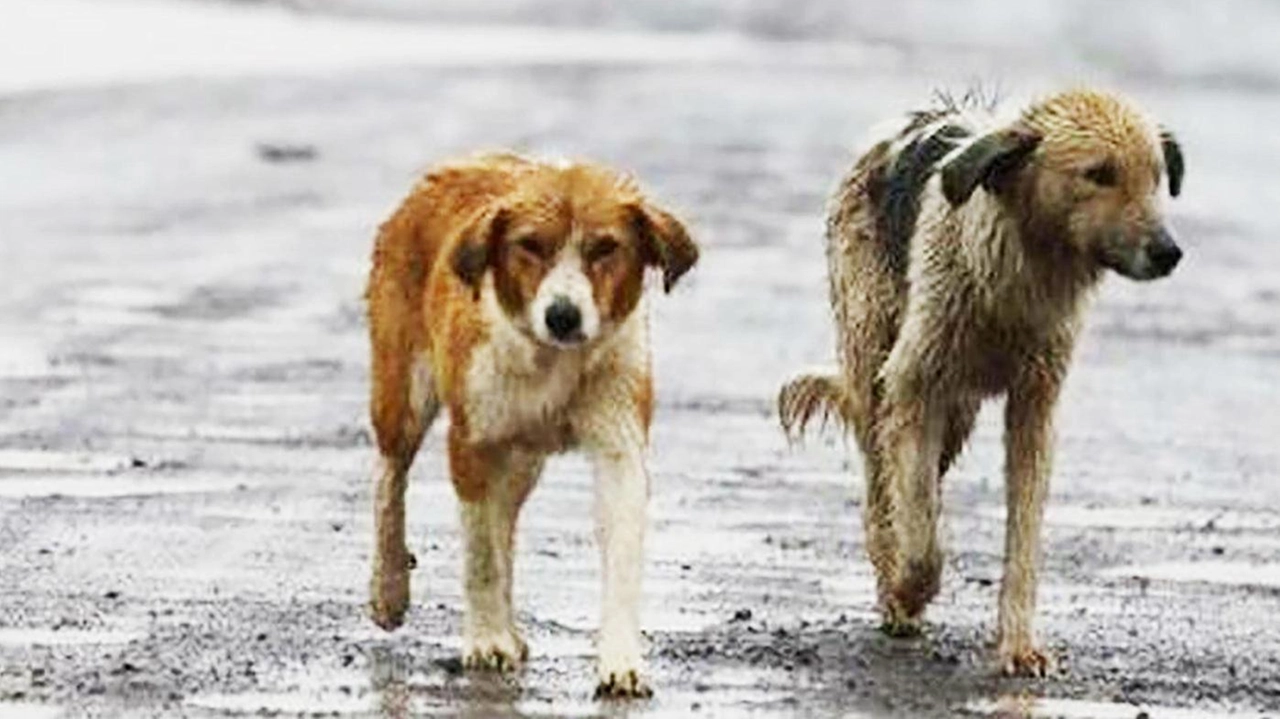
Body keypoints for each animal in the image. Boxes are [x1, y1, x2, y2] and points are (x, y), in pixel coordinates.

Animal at [360, 150, 701, 695]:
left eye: (605, 248)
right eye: (530, 246)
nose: (562, 316)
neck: (552, 363)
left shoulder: (620, 446)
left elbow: (620, 554)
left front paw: (621, 661)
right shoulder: (472, 443)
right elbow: (480, 556)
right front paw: (485, 641)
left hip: (522, 460)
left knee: (505, 524)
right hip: (404, 395)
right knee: (389, 479)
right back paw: (389, 587)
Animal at [773, 88, 1182, 670]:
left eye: (1155, 177)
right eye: (1099, 173)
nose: (1169, 252)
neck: (1021, 274)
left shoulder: (1035, 404)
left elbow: (1023, 536)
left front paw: (1020, 645)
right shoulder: (912, 384)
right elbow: (920, 534)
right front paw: (908, 589)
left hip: (958, 413)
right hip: (875, 363)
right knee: (881, 493)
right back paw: (892, 590)